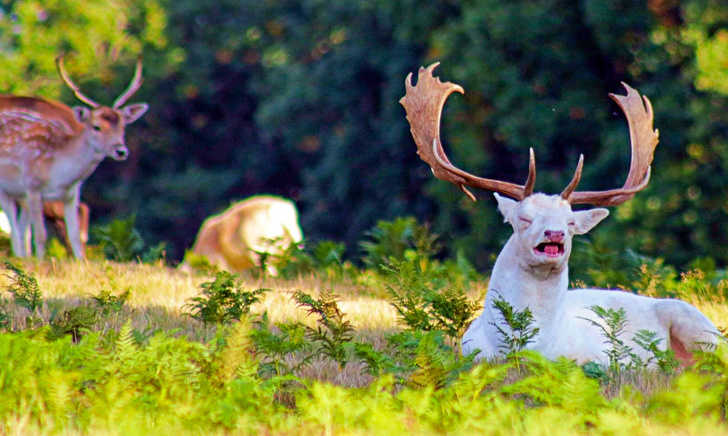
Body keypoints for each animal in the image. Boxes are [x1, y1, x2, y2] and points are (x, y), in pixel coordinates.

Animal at [0, 55, 148, 258]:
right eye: (96, 127)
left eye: (123, 126)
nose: (121, 151)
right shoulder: (32, 187)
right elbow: (41, 235)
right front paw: (40, 263)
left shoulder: (71, 194)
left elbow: (75, 236)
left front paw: (81, 263)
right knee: (17, 227)